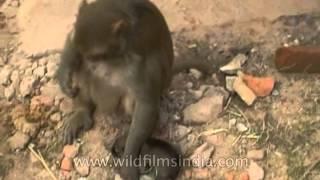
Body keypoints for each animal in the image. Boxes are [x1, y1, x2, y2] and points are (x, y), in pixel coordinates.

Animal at [56, 0, 214, 179]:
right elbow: (72, 45)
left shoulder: (137, 57)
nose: (90, 59)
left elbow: (145, 104)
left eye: (97, 55)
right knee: (83, 69)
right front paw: (64, 75)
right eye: (81, 48)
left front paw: (128, 161)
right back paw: (82, 111)